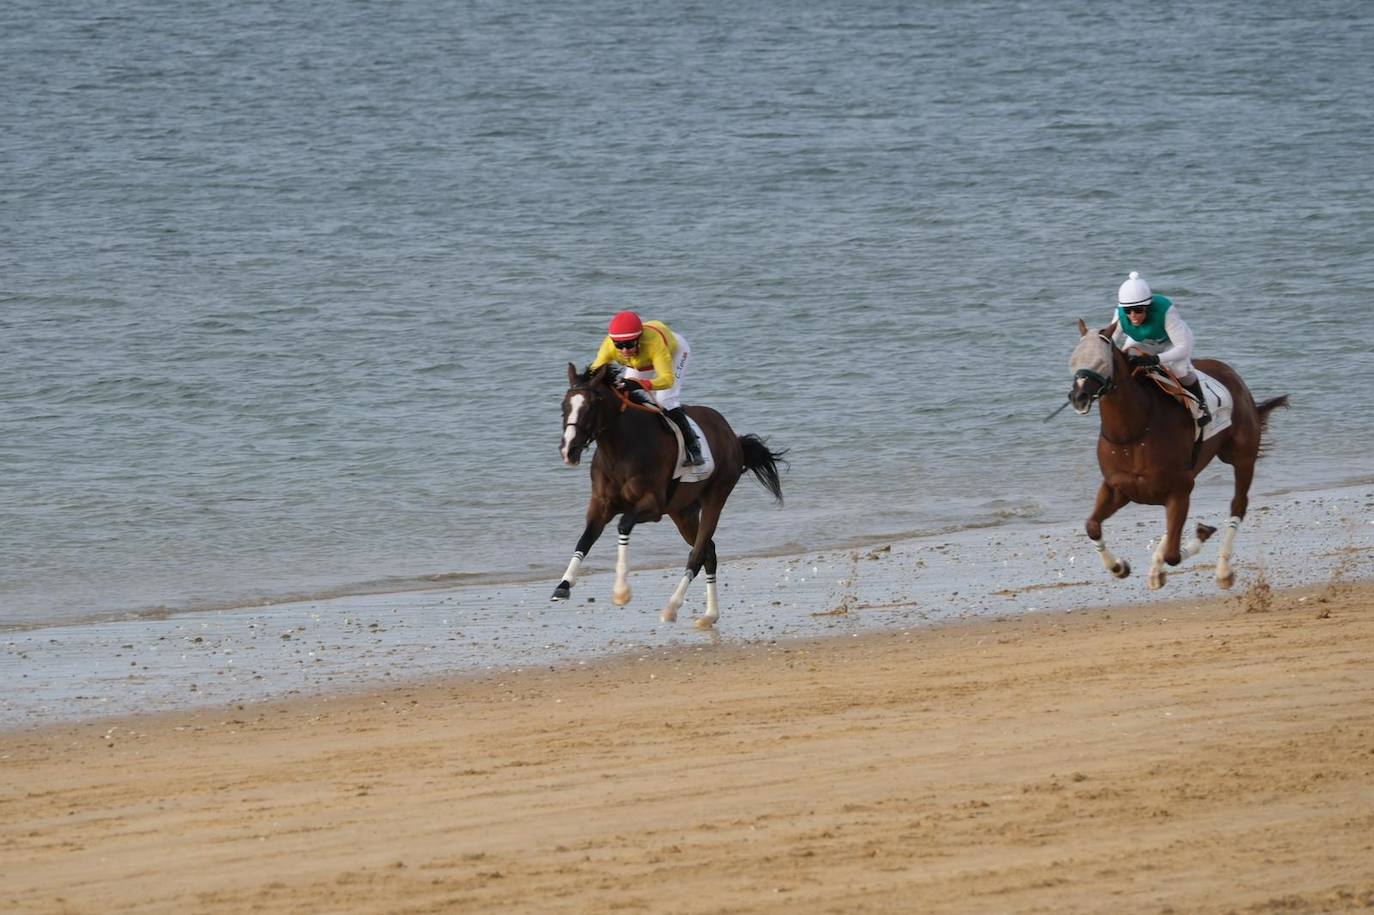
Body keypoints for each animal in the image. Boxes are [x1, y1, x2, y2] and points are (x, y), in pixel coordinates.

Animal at [546, 362, 785, 626]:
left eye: (589, 407)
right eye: (564, 406)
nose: (568, 450)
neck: (621, 450)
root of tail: (733, 436)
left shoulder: (653, 505)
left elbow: (623, 524)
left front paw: (621, 592)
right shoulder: (601, 505)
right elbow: (585, 539)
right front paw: (563, 585)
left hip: (716, 496)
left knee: (698, 553)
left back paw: (672, 607)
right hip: (683, 511)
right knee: (709, 552)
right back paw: (709, 615)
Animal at [1060, 320, 1286, 588]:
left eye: (1101, 360)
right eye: (1074, 359)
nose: (1078, 397)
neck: (1133, 433)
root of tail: (1231, 374)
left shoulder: (1180, 488)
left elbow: (1174, 555)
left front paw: (1201, 534)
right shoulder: (1118, 488)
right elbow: (1092, 526)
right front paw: (1118, 566)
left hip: (1242, 458)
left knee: (1238, 505)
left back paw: (1222, 570)